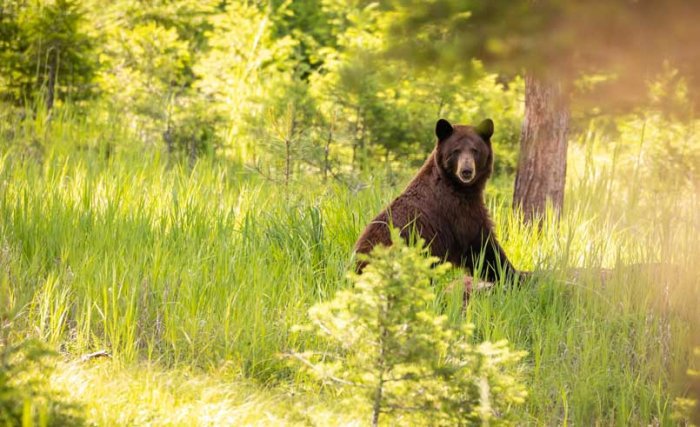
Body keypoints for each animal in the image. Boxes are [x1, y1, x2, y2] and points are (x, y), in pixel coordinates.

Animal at [354, 118, 525, 285]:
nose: (466, 171)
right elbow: (481, 245)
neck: (459, 187)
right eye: (456, 150)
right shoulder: (457, 211)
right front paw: (513, 274)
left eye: (475, 150)